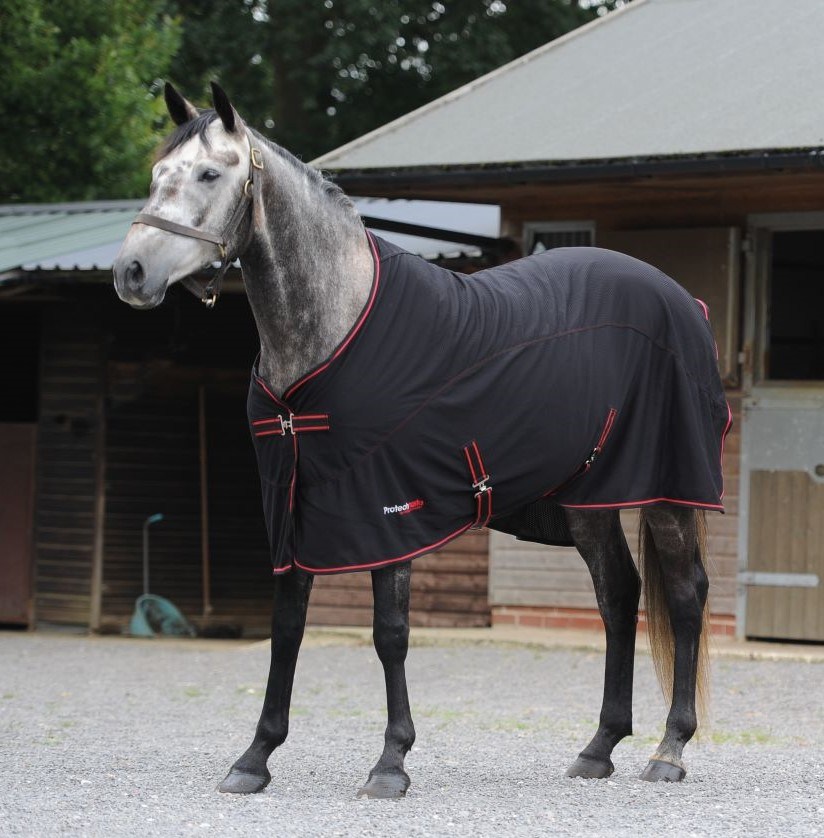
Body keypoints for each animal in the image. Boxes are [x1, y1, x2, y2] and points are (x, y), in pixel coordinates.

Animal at [113, 82, 731, 796]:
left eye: (211, 174)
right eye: (157, 173)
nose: (131, 272)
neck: (335, 324)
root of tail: (685, 302)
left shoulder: (388, 511)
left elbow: (390, 634)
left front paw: (390, 762)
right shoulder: (292, 506)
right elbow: (287, 629)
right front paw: (255, 757)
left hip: (667, 492)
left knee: (685, 596)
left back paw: (670, 750)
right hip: (590, 502)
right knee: (620, 597)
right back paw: (599, 746)